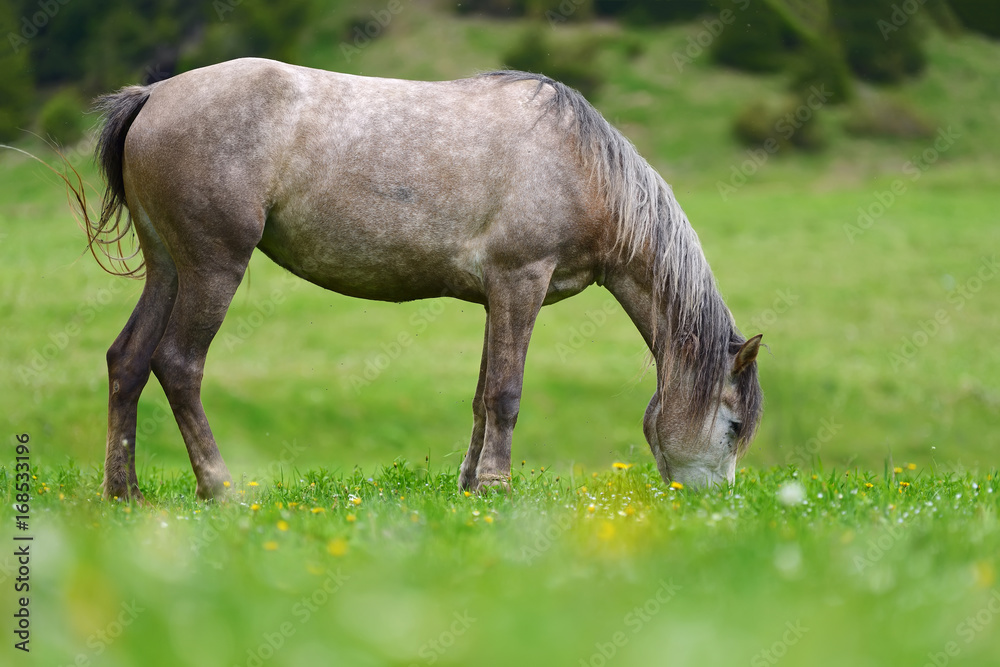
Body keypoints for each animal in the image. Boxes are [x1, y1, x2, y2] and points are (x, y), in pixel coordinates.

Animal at [76, 58, 763, 502]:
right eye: (732, 426)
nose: (716, 506)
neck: (581, 167)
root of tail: (153, 97)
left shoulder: (496, 297)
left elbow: (483, 397)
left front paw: (469, 485)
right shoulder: (521, 283)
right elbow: (507, 394)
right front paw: (497, 488)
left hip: (169, 268)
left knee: (127, 361)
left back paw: (124, 492)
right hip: (214, 267)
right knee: (178, 363)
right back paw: (218, 488)